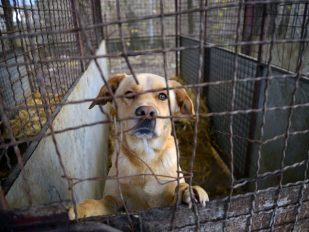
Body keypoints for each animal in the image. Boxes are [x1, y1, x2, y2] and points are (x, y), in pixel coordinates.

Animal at [68, 72, 208, 219]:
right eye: (129, 94)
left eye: (162, 96)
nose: (146, 112)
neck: (145, 155)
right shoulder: (115, 200)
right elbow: (103, 202)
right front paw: (83, 208)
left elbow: (177, 192)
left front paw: (188, 190)